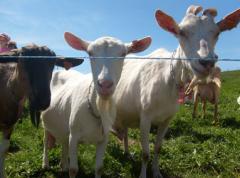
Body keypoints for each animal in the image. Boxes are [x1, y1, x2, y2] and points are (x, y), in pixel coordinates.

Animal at [41, 32, 150, 178]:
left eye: (123, 54)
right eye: (90, 53)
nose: (105, 84)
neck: (98, 109)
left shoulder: (103, 139)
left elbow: (99, 168)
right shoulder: (74, 136)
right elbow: (73, 170)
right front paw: (68, 168)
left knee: (63, 142)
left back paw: (63, 165)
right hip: (46, 121)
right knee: (46, 141)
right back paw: (45, 164)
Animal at [111, 4, 240, 177]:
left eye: (217, 33)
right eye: (181, 32)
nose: (206, 62)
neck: (168, 80)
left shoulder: (167, 119)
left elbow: (158, 148)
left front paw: (157, 172)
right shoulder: (145, 117)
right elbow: (145, 153)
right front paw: (144, 174)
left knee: (124, 131)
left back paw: (126, 152)